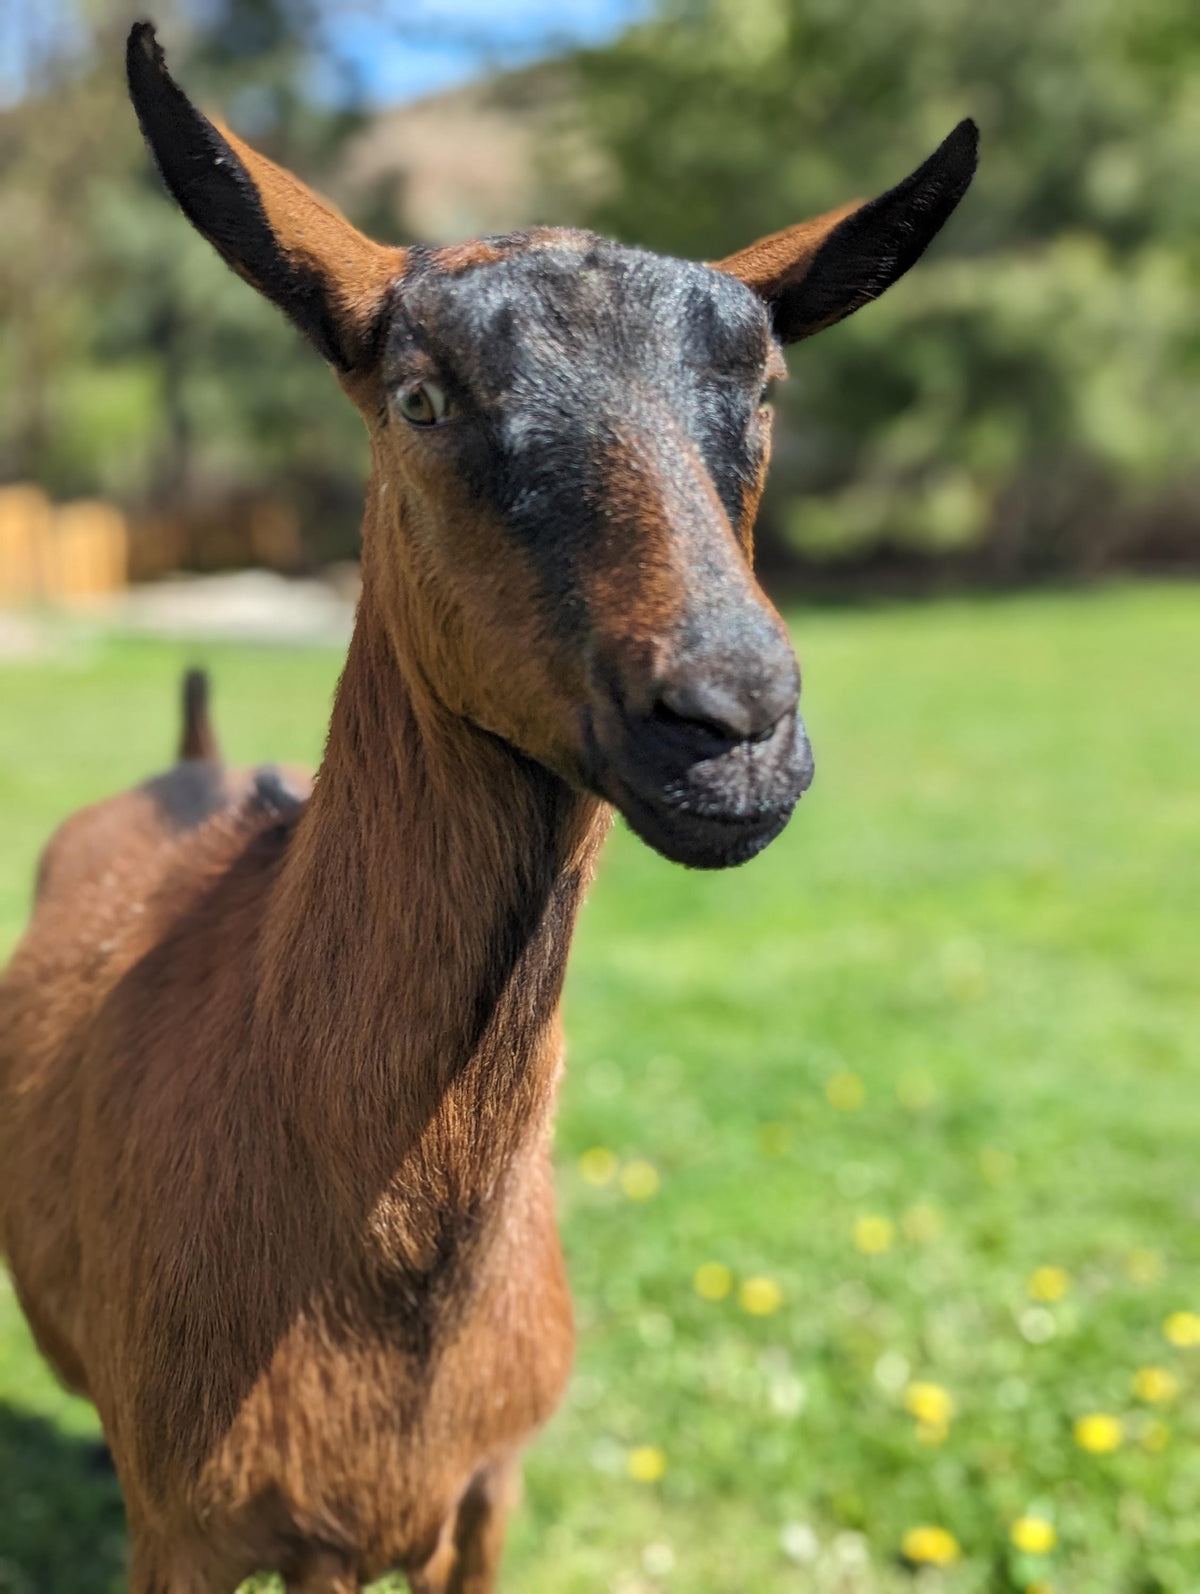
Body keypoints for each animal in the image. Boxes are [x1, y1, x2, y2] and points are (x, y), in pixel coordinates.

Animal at [0, 23, 977, 1593]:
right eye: (421, 395)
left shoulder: (485, 1495)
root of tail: (193, 751)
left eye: (763, 393)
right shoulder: (194, 1533)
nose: (734, 725)